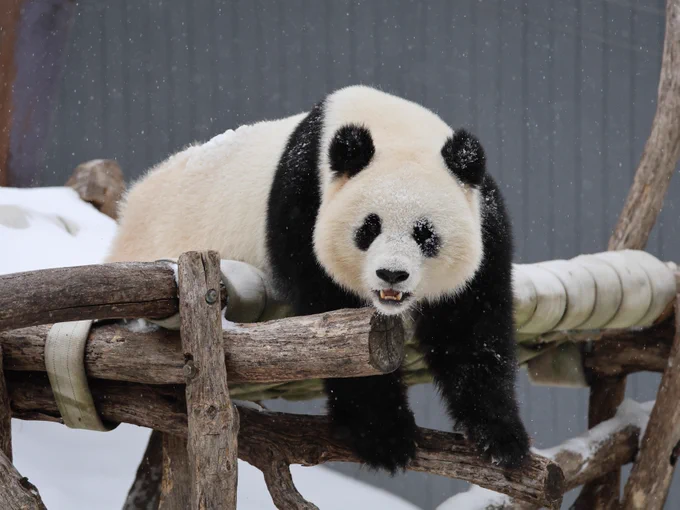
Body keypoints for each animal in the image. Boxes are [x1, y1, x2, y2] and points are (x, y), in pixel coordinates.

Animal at [107, 85, 530, 473]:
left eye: (425, 234)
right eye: (369, 228)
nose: (392, 274)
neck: (390, 127)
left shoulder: (485, 222)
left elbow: (471, 329)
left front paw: (502, 439)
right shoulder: (303, 205)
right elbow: (338, 332)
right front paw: (383, 436)